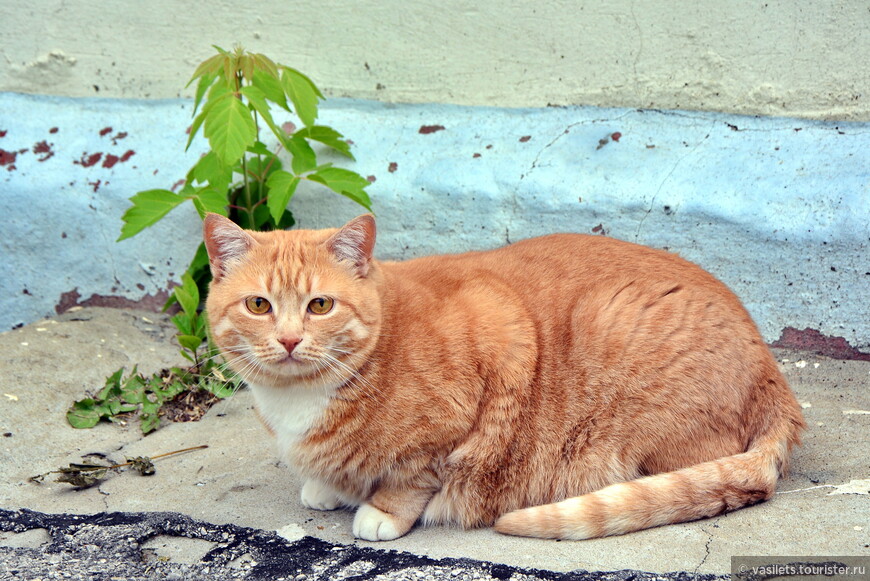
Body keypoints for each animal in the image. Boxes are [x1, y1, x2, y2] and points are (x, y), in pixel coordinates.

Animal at [203, 212, 804, 540]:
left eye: (320, 305)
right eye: (259, 306)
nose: (288, 340)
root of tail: (773, 373)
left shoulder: (476, 383)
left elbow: (412, 476)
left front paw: (379, 510)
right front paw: (327, 486)